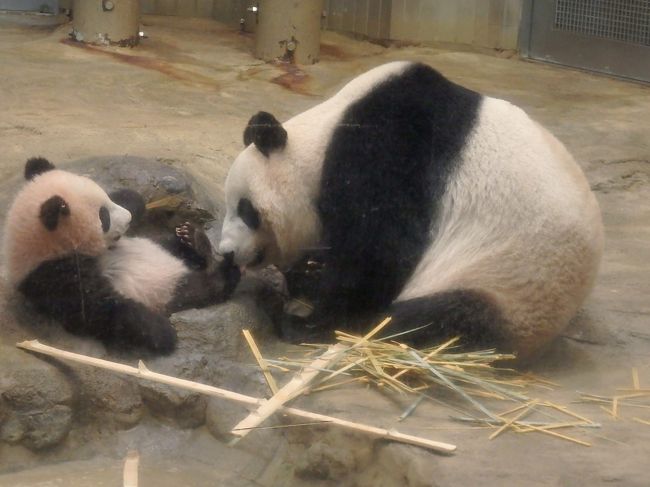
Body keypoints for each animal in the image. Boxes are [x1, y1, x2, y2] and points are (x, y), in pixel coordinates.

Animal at [3, 159, 238, 354]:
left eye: (105, 198)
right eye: (103, 217)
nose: (128, 218)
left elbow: (130, 198)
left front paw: (133, 201)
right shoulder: (52, 275)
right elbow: (101, 309)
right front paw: (164, 333)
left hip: (161, 245)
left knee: (176, 245)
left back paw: (194, 240)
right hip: (169, 292)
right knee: (204, 287)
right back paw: (221, 273)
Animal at [219, 62, 604, 362]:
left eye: (246, 209)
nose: (226, 252)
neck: (324, 137)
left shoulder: (388, 148)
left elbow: (378, 253)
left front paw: (310, 318)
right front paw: (304, 277)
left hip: (507, 281)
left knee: (437, 320)